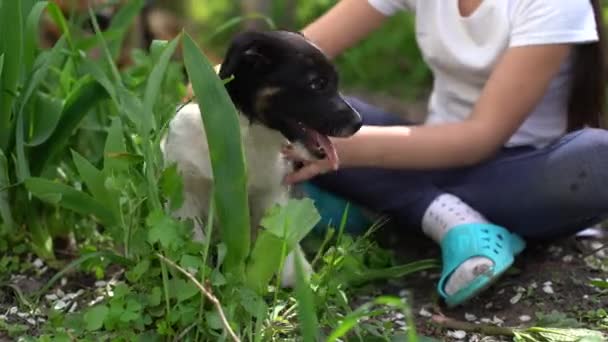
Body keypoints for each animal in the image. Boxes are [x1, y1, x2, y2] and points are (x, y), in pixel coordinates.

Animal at [160, 30, 360, 286]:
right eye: (317, 84)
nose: (359, 123)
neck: (244, 136)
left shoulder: (273, 194)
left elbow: (279, 241)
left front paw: (297, 280)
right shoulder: (185, 187)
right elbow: (191, 238)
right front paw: (194, 276)